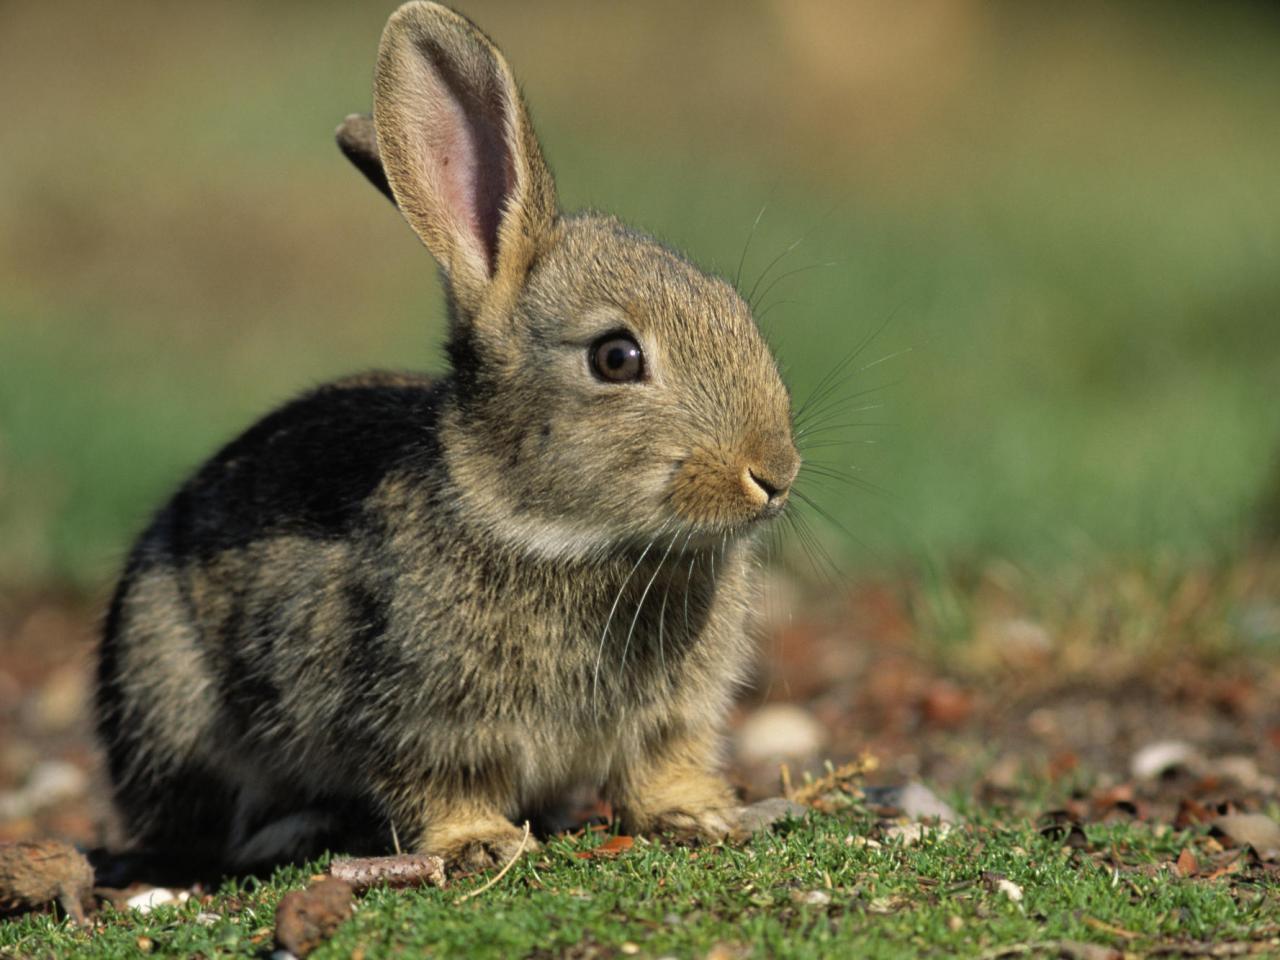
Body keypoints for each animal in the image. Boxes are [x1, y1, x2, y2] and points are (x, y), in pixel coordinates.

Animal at [97, 0, 798, 870]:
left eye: (734, 309)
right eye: (616, 357)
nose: (774, 473)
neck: (560, 536)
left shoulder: (673, 716)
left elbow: (661, 762)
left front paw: (697, 815)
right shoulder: (416, 715)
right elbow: (440, 785)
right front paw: (482, 844)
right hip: (169, 690)